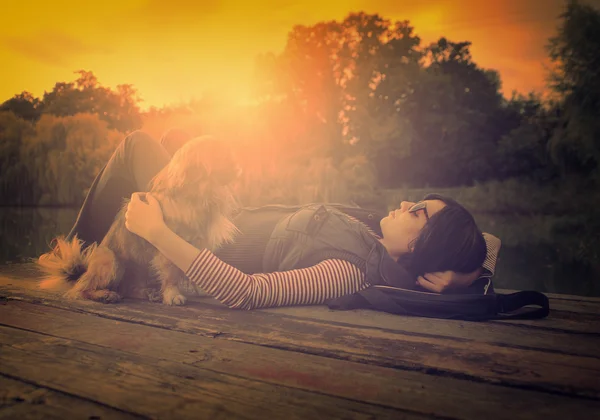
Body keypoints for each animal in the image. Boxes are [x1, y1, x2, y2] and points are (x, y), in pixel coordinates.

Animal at [35, 136, 239, 304]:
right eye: (222, 158)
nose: (238, 168)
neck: (199, 195)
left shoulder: (196, 243)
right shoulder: (167, 248)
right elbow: (171, 274)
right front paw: (172, 295)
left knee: (129, 289)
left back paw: (148, 293)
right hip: (112, 262)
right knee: (81, 291)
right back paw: (105, 295)